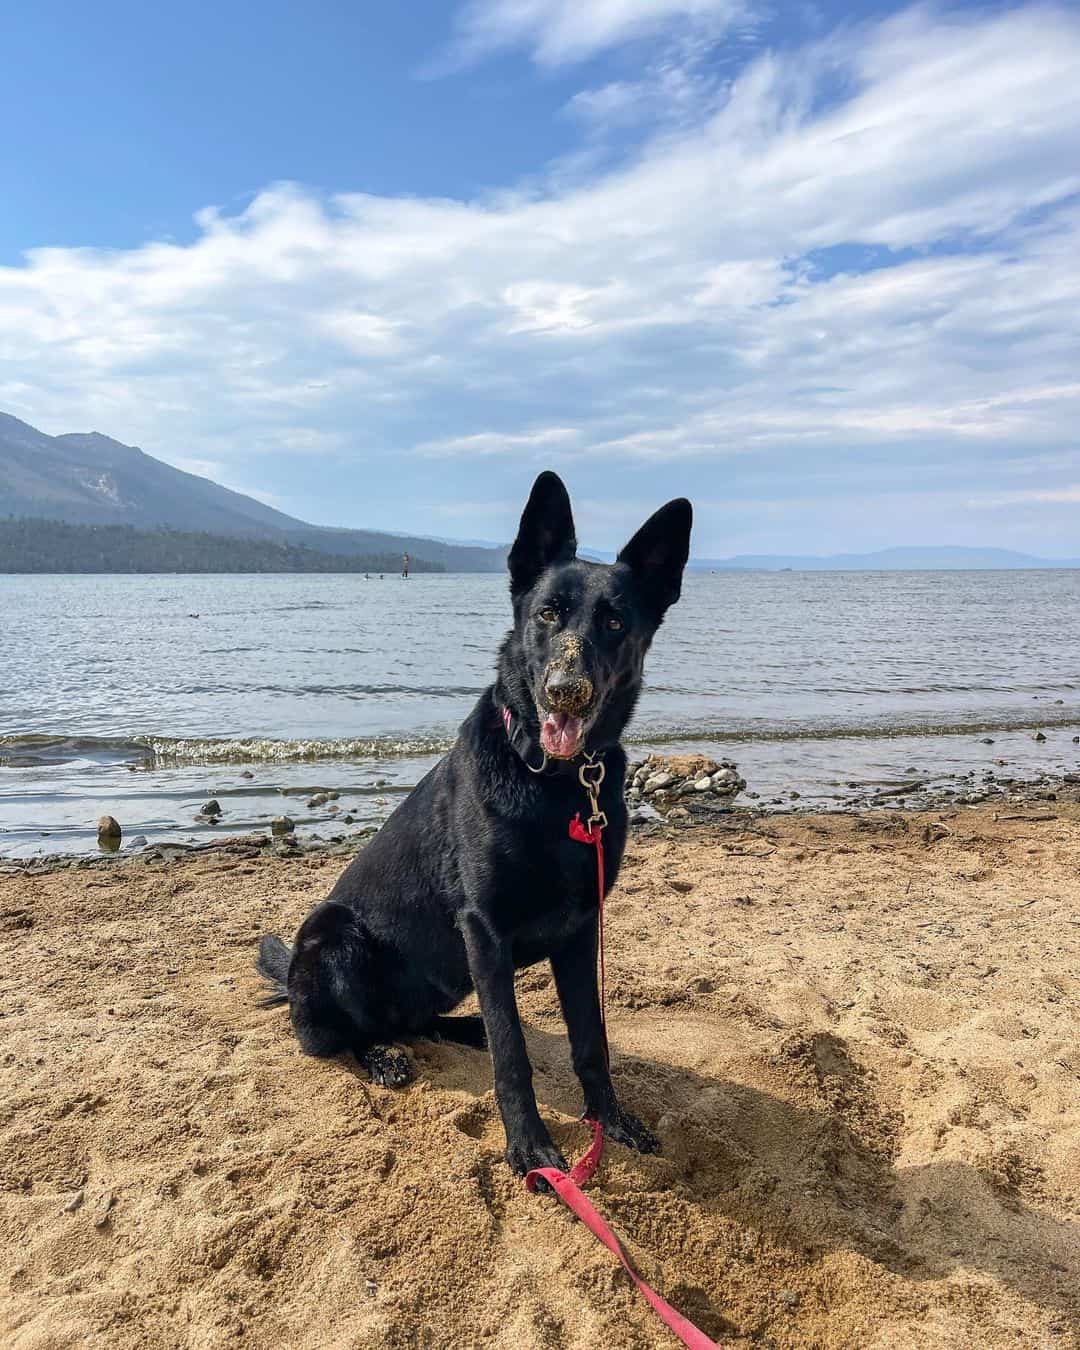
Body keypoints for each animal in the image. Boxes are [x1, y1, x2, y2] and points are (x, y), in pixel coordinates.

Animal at [257, 475, 688, 1182]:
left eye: (615, 622)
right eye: (547, 614)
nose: (566, 689)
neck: (556, 782)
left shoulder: (579, 930)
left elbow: (590, 1041)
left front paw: (611, 1119)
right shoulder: (484, 930)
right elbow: (513, 1054)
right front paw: (531, 1148)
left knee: (417, 1021)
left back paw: (459, 1030)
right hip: (332, 933)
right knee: (337, 1036)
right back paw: (380, 1055)